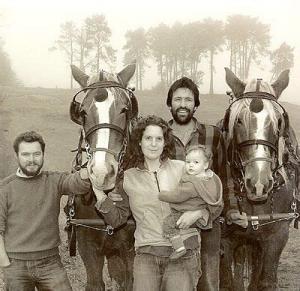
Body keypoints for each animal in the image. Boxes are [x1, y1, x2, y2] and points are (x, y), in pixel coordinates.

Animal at [66, 62, 138, 290]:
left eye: (125, 109)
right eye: (82, 113)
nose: (102, 172)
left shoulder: (131, 250)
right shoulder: (88, 248)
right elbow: (95, 283)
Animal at [220, 68, 300, 291]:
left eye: (279, 121)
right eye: (238, 120)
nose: (258, 183)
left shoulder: (276, 236)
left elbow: (266, 281)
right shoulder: (226, 238)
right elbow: (228, 282)